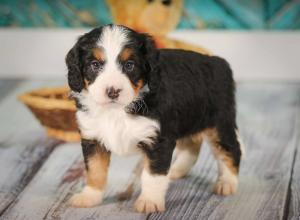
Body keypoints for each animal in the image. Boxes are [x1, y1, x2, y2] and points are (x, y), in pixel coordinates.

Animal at [66, 23, 244, 213]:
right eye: (95, 64)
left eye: (129, 65)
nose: (112, 91)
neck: (118, 111)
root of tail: (219, 62)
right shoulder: (93, 137)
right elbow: (95, 170)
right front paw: (90, 196)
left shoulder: (158, 140)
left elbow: (153, 174)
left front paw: (149, 201)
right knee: (192, 146)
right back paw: (176, 170)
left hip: (219, 123)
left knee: (231, 149)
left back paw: (227, 183)